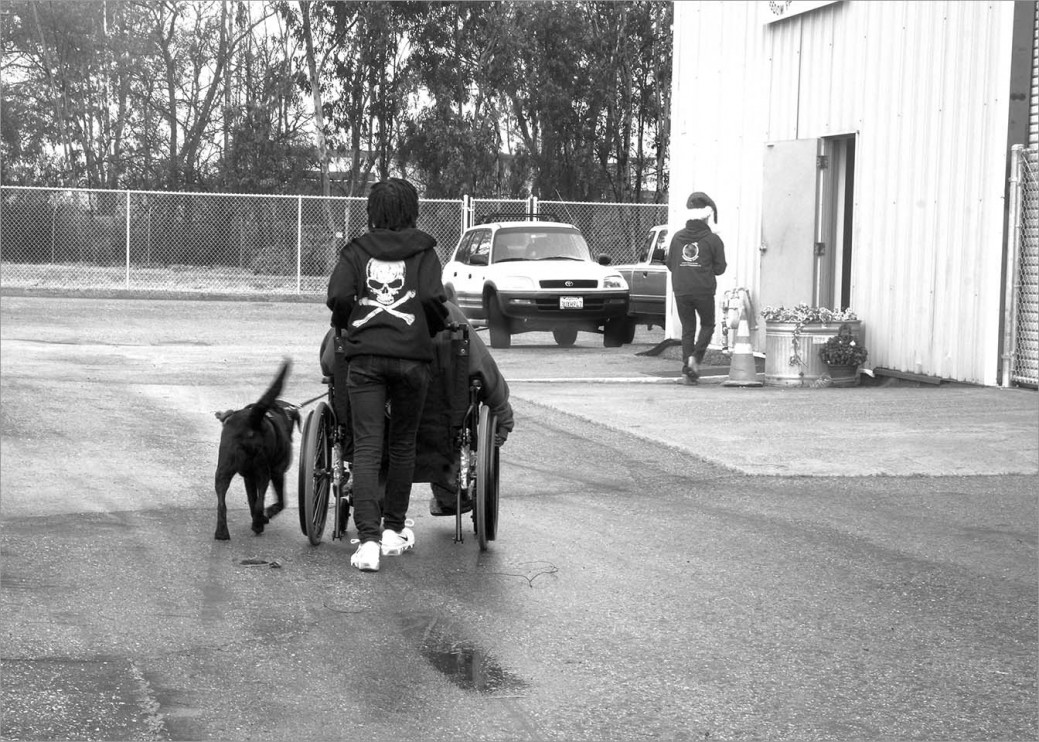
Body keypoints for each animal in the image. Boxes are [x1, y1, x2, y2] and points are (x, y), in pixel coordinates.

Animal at [212, 357, 299, 536]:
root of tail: (251, 419)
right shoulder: (277, 472)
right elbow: (280, 501)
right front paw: (270, 512)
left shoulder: (248, 477)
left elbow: (251, 499)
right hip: (263, 470)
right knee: (260, 502)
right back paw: (258, 524)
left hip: (224, 469)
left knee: (222, 503)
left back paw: (222, 533)